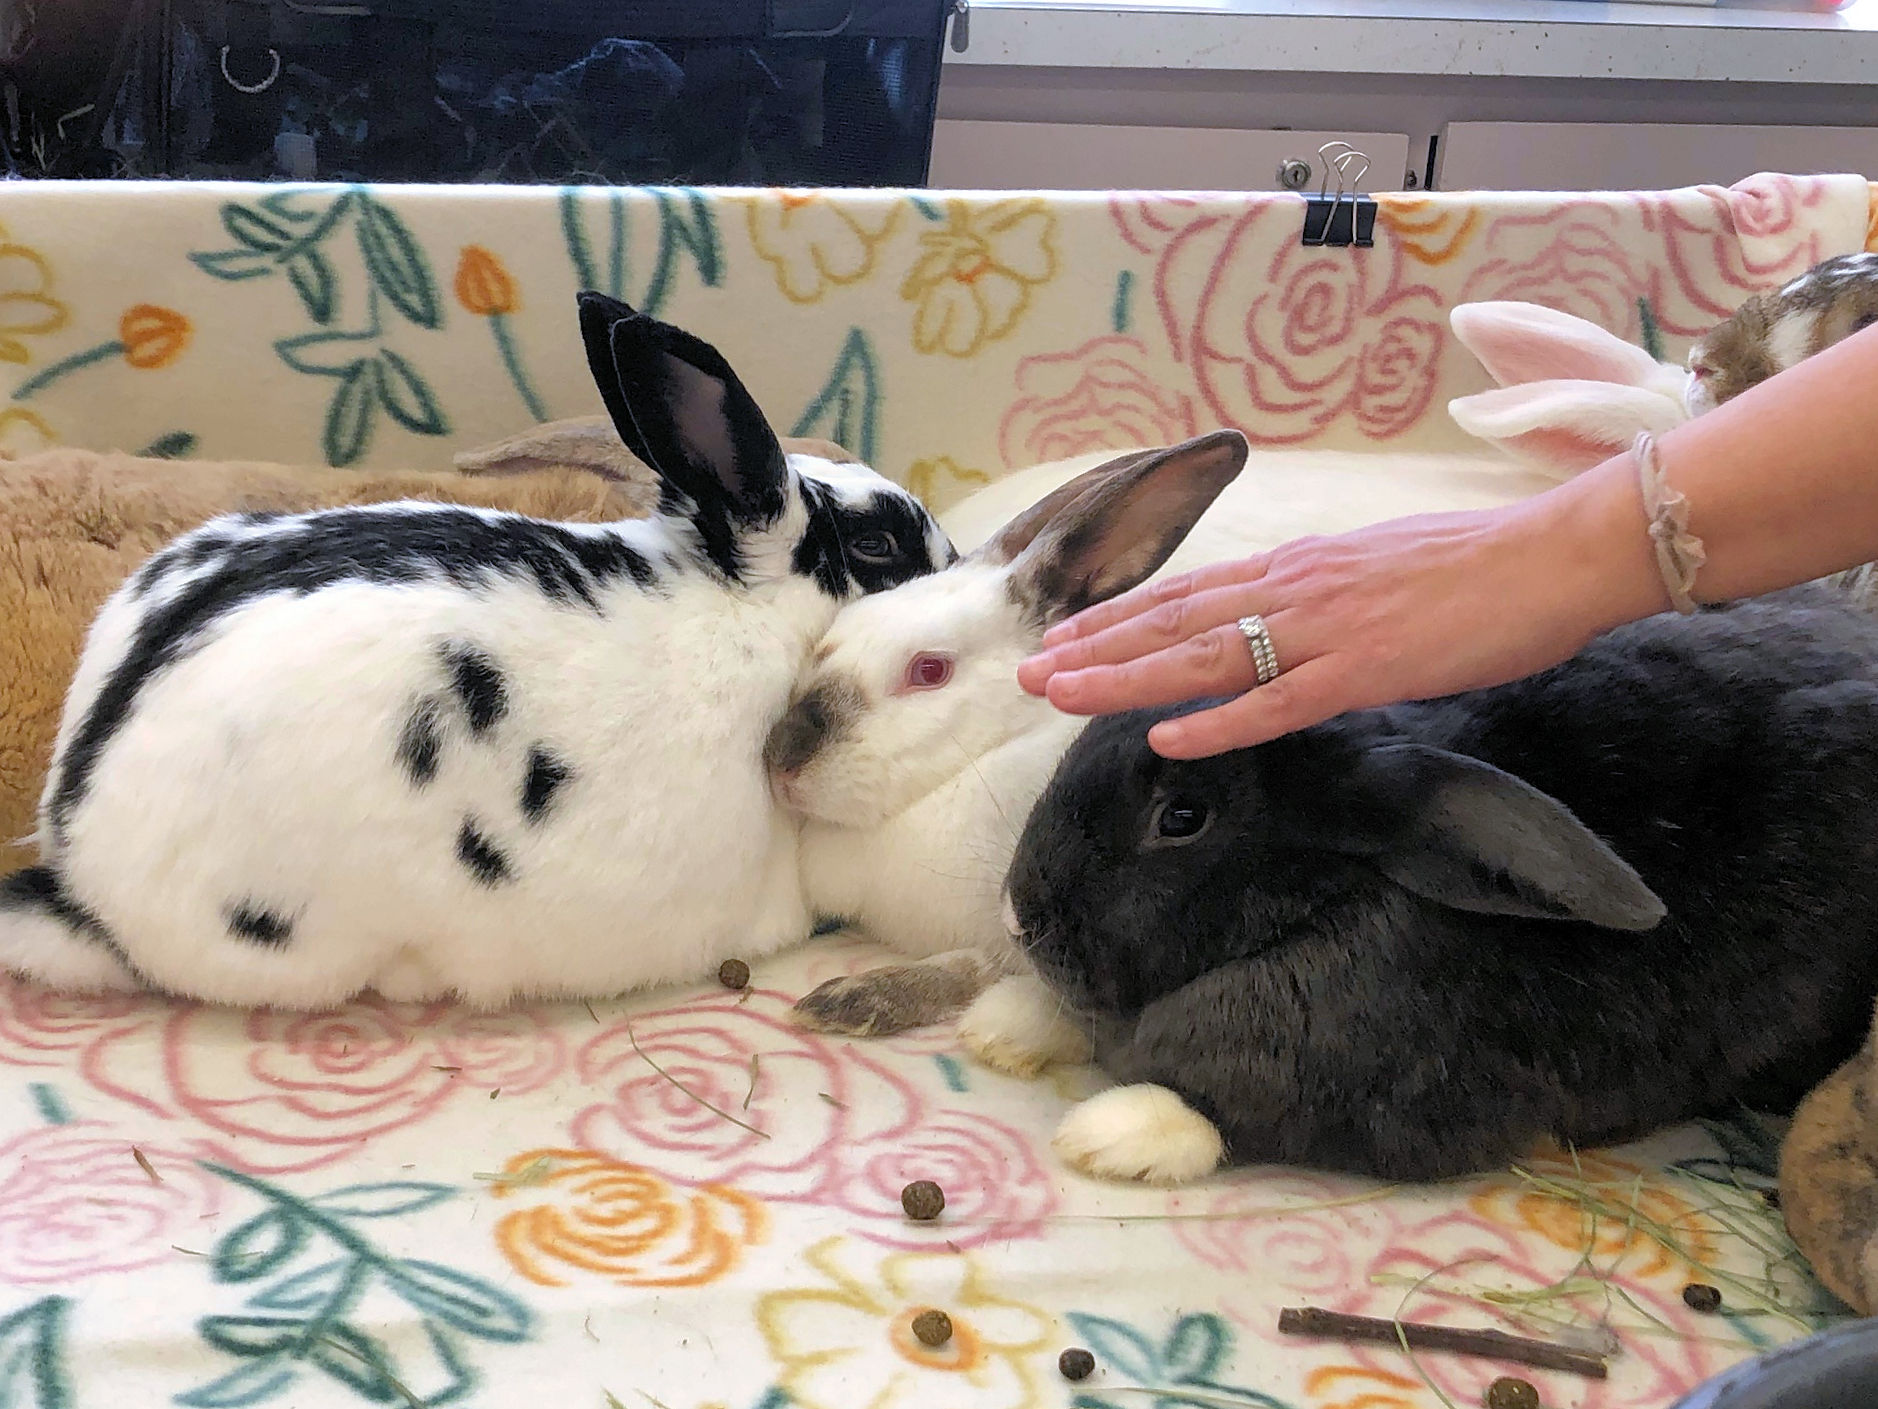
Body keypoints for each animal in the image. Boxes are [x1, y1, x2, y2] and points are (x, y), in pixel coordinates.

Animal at [957, 588, 1878, 1186]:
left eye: (1183, 817)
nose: (1015, 916)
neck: (1336, 896)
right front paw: (1001, 1029)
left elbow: (1218, 1115)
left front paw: (1106, 1135)